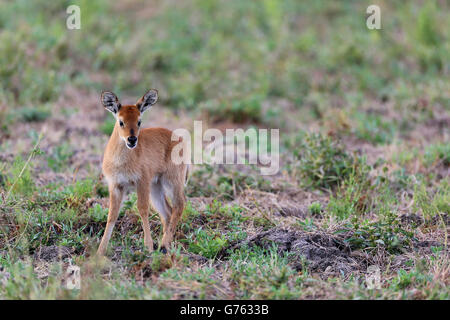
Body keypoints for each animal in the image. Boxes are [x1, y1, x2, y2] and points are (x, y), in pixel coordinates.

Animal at [96, 89, 188, 255]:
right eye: (121, 121)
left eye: (139, 121)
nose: (132, 139)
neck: (121, 162)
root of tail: (179, 139)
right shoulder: (116, 185)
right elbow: (112, 214)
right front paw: (100, 251)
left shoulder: (142, 181)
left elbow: (142, 209)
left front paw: (148, 246)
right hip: (156, 187)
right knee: (167, 212)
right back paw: (164, 244)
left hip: (172, 181)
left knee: (179, 205)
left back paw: (164, 245)